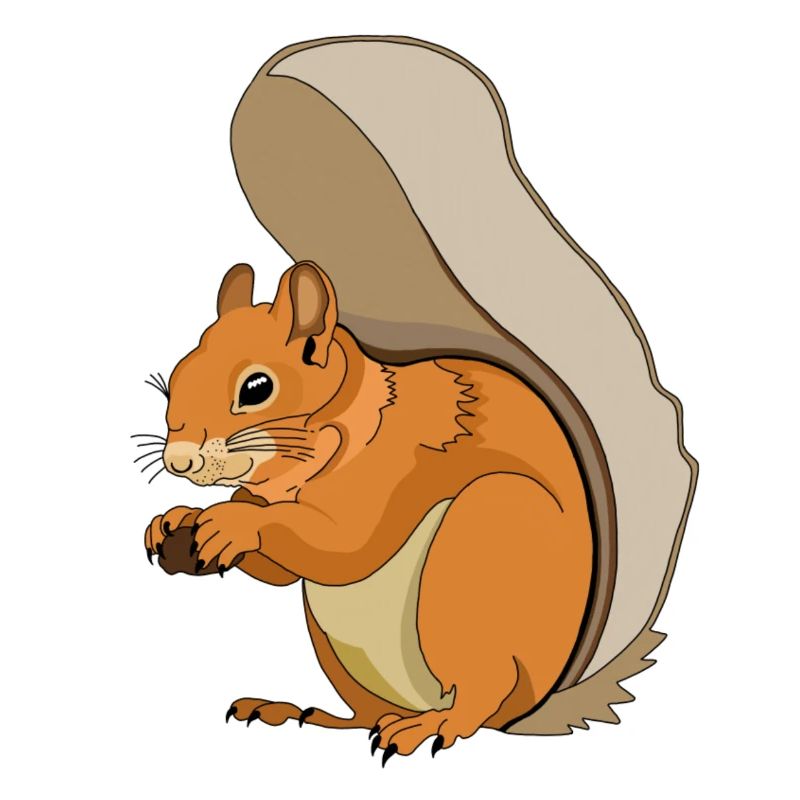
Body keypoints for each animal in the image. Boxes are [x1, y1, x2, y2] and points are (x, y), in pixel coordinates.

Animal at [140, 36, 697, 762]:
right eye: (175, 376)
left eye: (256, 388)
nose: (179, 461)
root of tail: (541, 703)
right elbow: (282, 568)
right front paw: (176, 521)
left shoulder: (396, 462)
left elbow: (343, 543)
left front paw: (232, 523)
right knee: (365, 713)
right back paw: (301, 713)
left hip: (477, 552)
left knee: (480, 696)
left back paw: (432, 727)